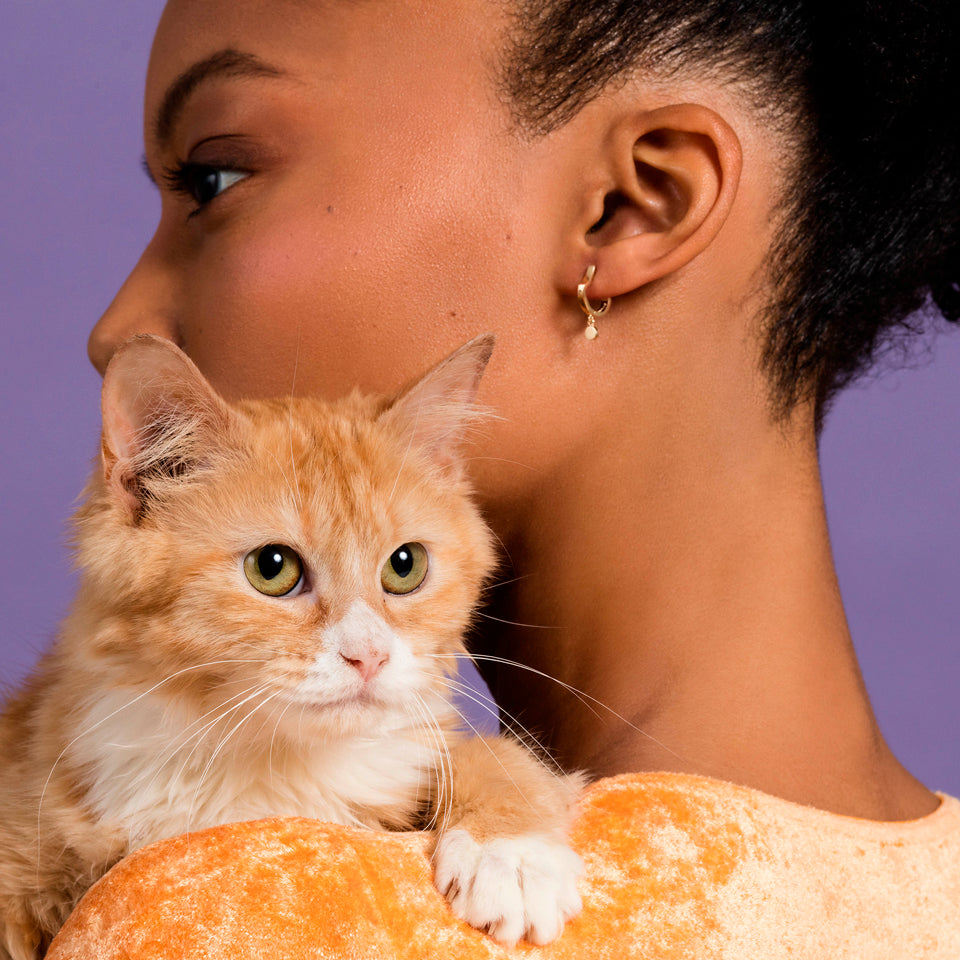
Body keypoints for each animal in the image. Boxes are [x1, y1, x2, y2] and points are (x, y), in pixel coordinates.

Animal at [0, 334, 584, 956]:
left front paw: (513, 855)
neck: (277, 769)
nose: (369, 656)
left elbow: (492, 753)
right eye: (272, 567)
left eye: (406, 566)